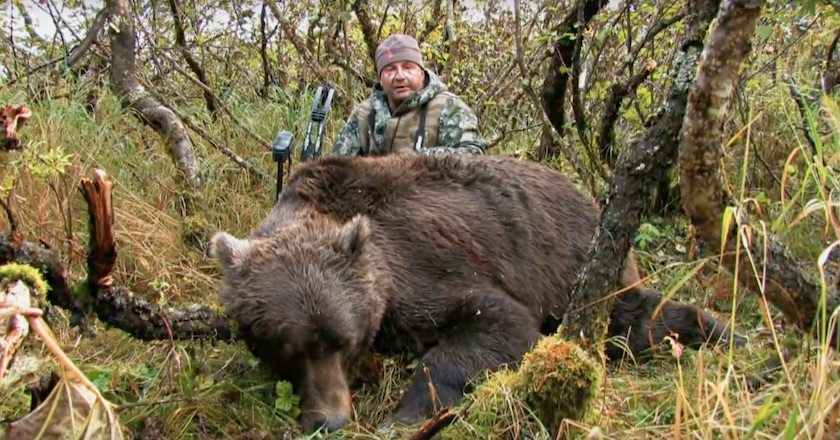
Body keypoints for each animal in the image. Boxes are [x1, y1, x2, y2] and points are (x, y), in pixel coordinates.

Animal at [210, 152, 740, 434]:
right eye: (289, 346)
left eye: (344, 340)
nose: (331, 421)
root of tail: (588, 196)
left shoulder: (421, 265)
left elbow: (497, 322)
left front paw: (403, 415)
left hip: (571, 263)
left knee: (633, 320)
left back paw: (725, 334)